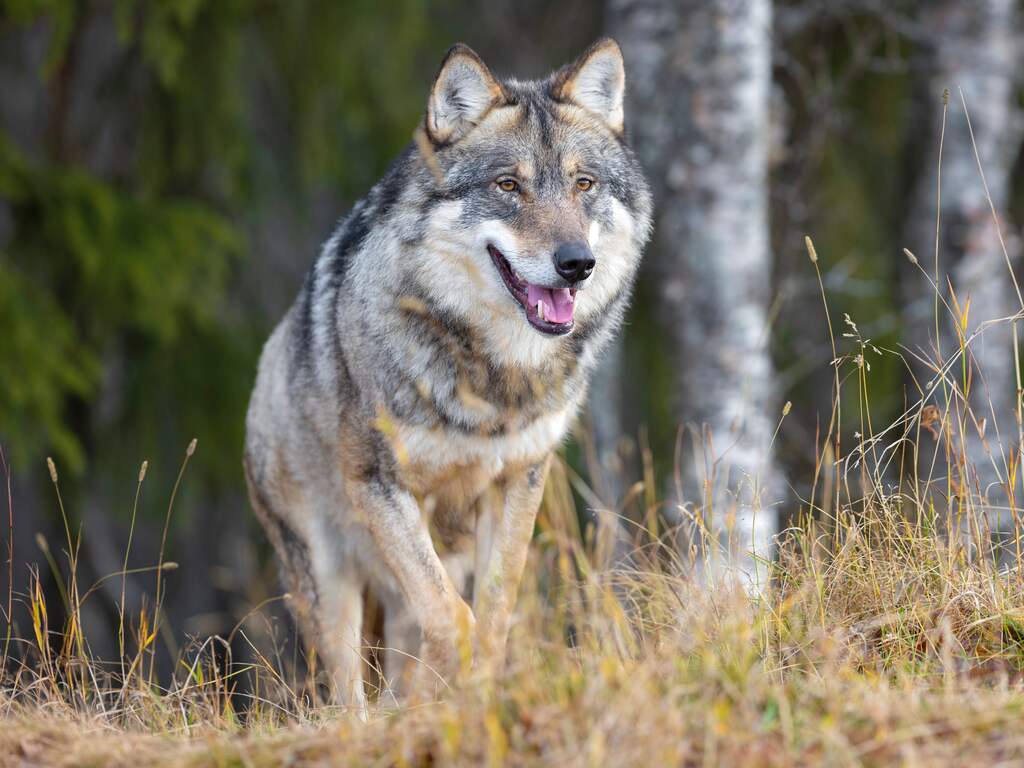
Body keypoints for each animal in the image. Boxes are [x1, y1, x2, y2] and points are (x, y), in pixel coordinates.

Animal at [243, 37, 652, 711]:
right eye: (509, 185)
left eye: (583, 184)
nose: (577, 264)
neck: (491, 379)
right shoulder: (380, 486)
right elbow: (453, 616)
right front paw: (457, 689)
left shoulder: (518, 480)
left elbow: (493, 612)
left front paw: (478, 693)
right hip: (330, 578)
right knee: (347, 690)